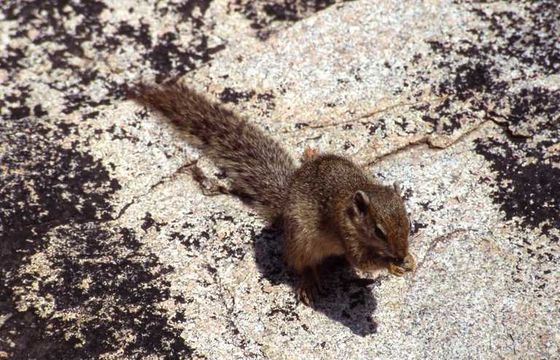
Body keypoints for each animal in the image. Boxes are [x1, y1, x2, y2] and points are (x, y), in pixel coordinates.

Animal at [131, 81, 416, 306]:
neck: (352, 207)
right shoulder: (346, 235)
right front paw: (391, 264)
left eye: (408, 222)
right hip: (301, 240)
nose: (401, 254)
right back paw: (309, 283)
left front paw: (409, 260)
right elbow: (362, 262)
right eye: (379, 231)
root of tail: (286, 197)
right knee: (298, 263)